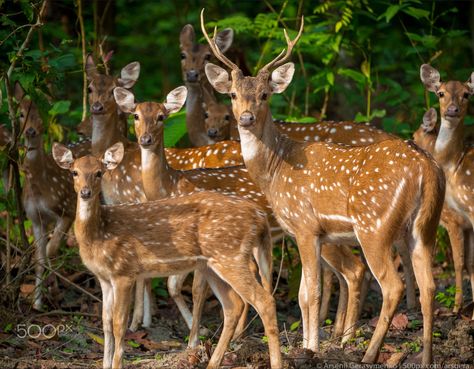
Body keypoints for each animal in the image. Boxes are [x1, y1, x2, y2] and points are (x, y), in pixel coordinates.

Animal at [13, 82, 76, 310]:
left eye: (42, 113)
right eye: (21, 114)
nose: (30, 130)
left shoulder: (68, 209)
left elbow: (51, 249)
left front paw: (54, 290)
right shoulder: (35, 217)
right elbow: (38, 259)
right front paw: (37, 303)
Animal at [51, 141, 282, 368]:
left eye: (99, 173)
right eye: (74, 172)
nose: (86, 192)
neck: (99, 234)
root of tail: (259, 216)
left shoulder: (124, 271)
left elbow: (118, 324)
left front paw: (117, 363)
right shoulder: (104, 278)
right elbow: (105, 322)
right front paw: (106, 363)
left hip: (230, 255)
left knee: (264, 301)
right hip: (212, 264)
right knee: (234, 305)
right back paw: (212, 362)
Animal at [203, 10, 444, 362]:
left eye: (264, 95)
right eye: (233, 94)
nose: (246, 118)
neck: (276, 170)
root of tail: (427, 168)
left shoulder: (305, 225)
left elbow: (313, 293)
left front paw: (312, 348)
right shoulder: (307, 233)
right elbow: (303, 293)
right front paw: (307, 343)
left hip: (374, 225)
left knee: (392, 285)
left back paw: (368, 354)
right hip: (425, 226)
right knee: (429, 286)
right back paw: (425, 356)